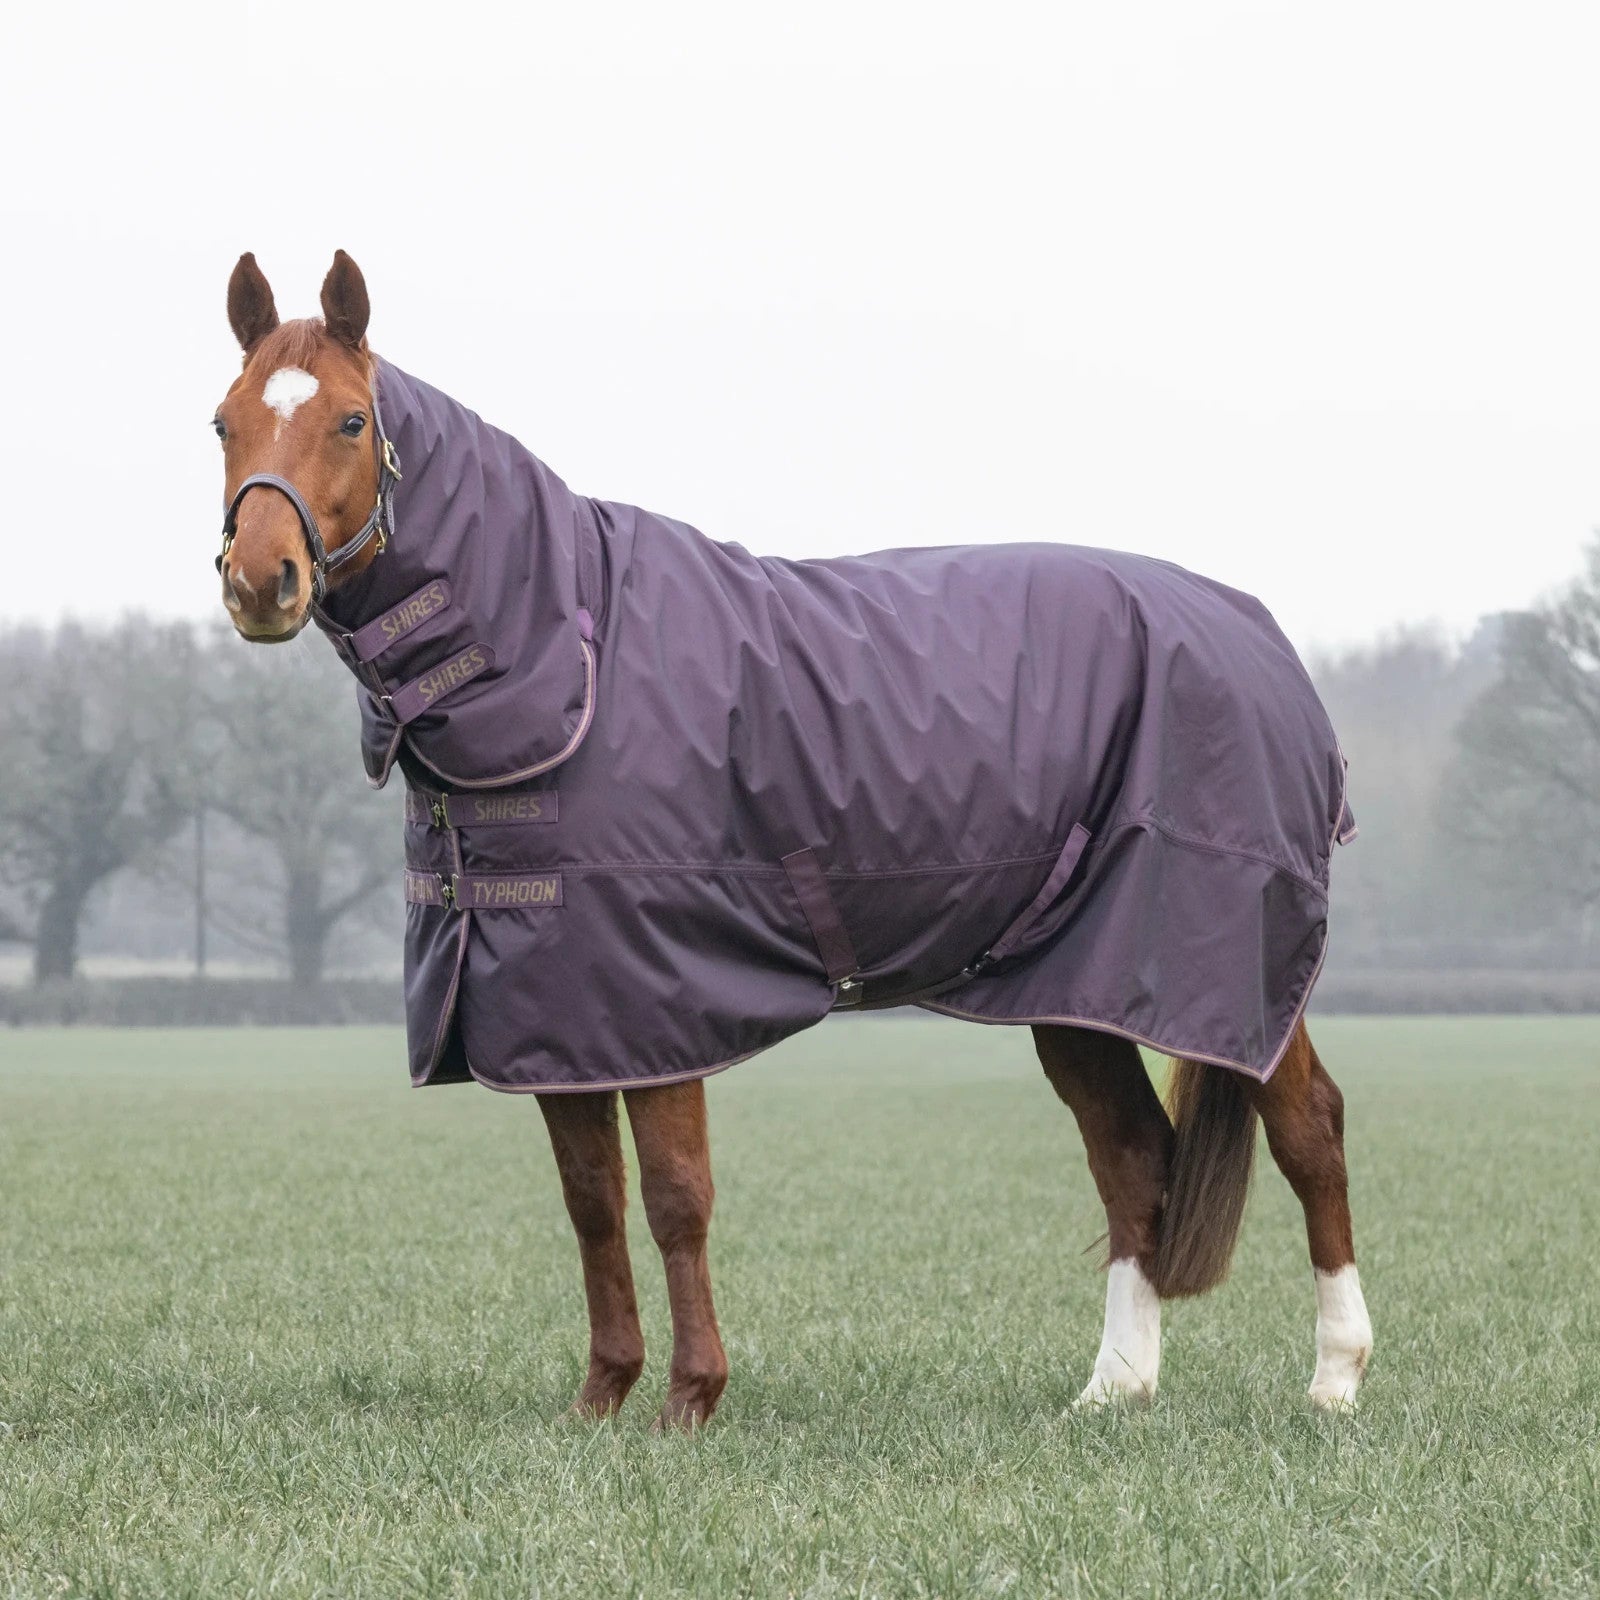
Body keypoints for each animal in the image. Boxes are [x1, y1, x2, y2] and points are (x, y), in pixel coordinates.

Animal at [212, 250, 1372, 1428]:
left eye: (351, 420)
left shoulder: (656, 1005)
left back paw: (1335, 1378)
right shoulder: (556, 1011)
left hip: (1234, 969)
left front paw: (690, 1400)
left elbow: (675, 1197)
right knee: (1133, 1155)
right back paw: (1114, 1387)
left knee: (1309, 1129)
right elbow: (591, 1202)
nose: (261, 581)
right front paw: (601, 1399)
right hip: (1080, 988)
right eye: (224, 422)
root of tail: (1261, 639)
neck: (572, 653)